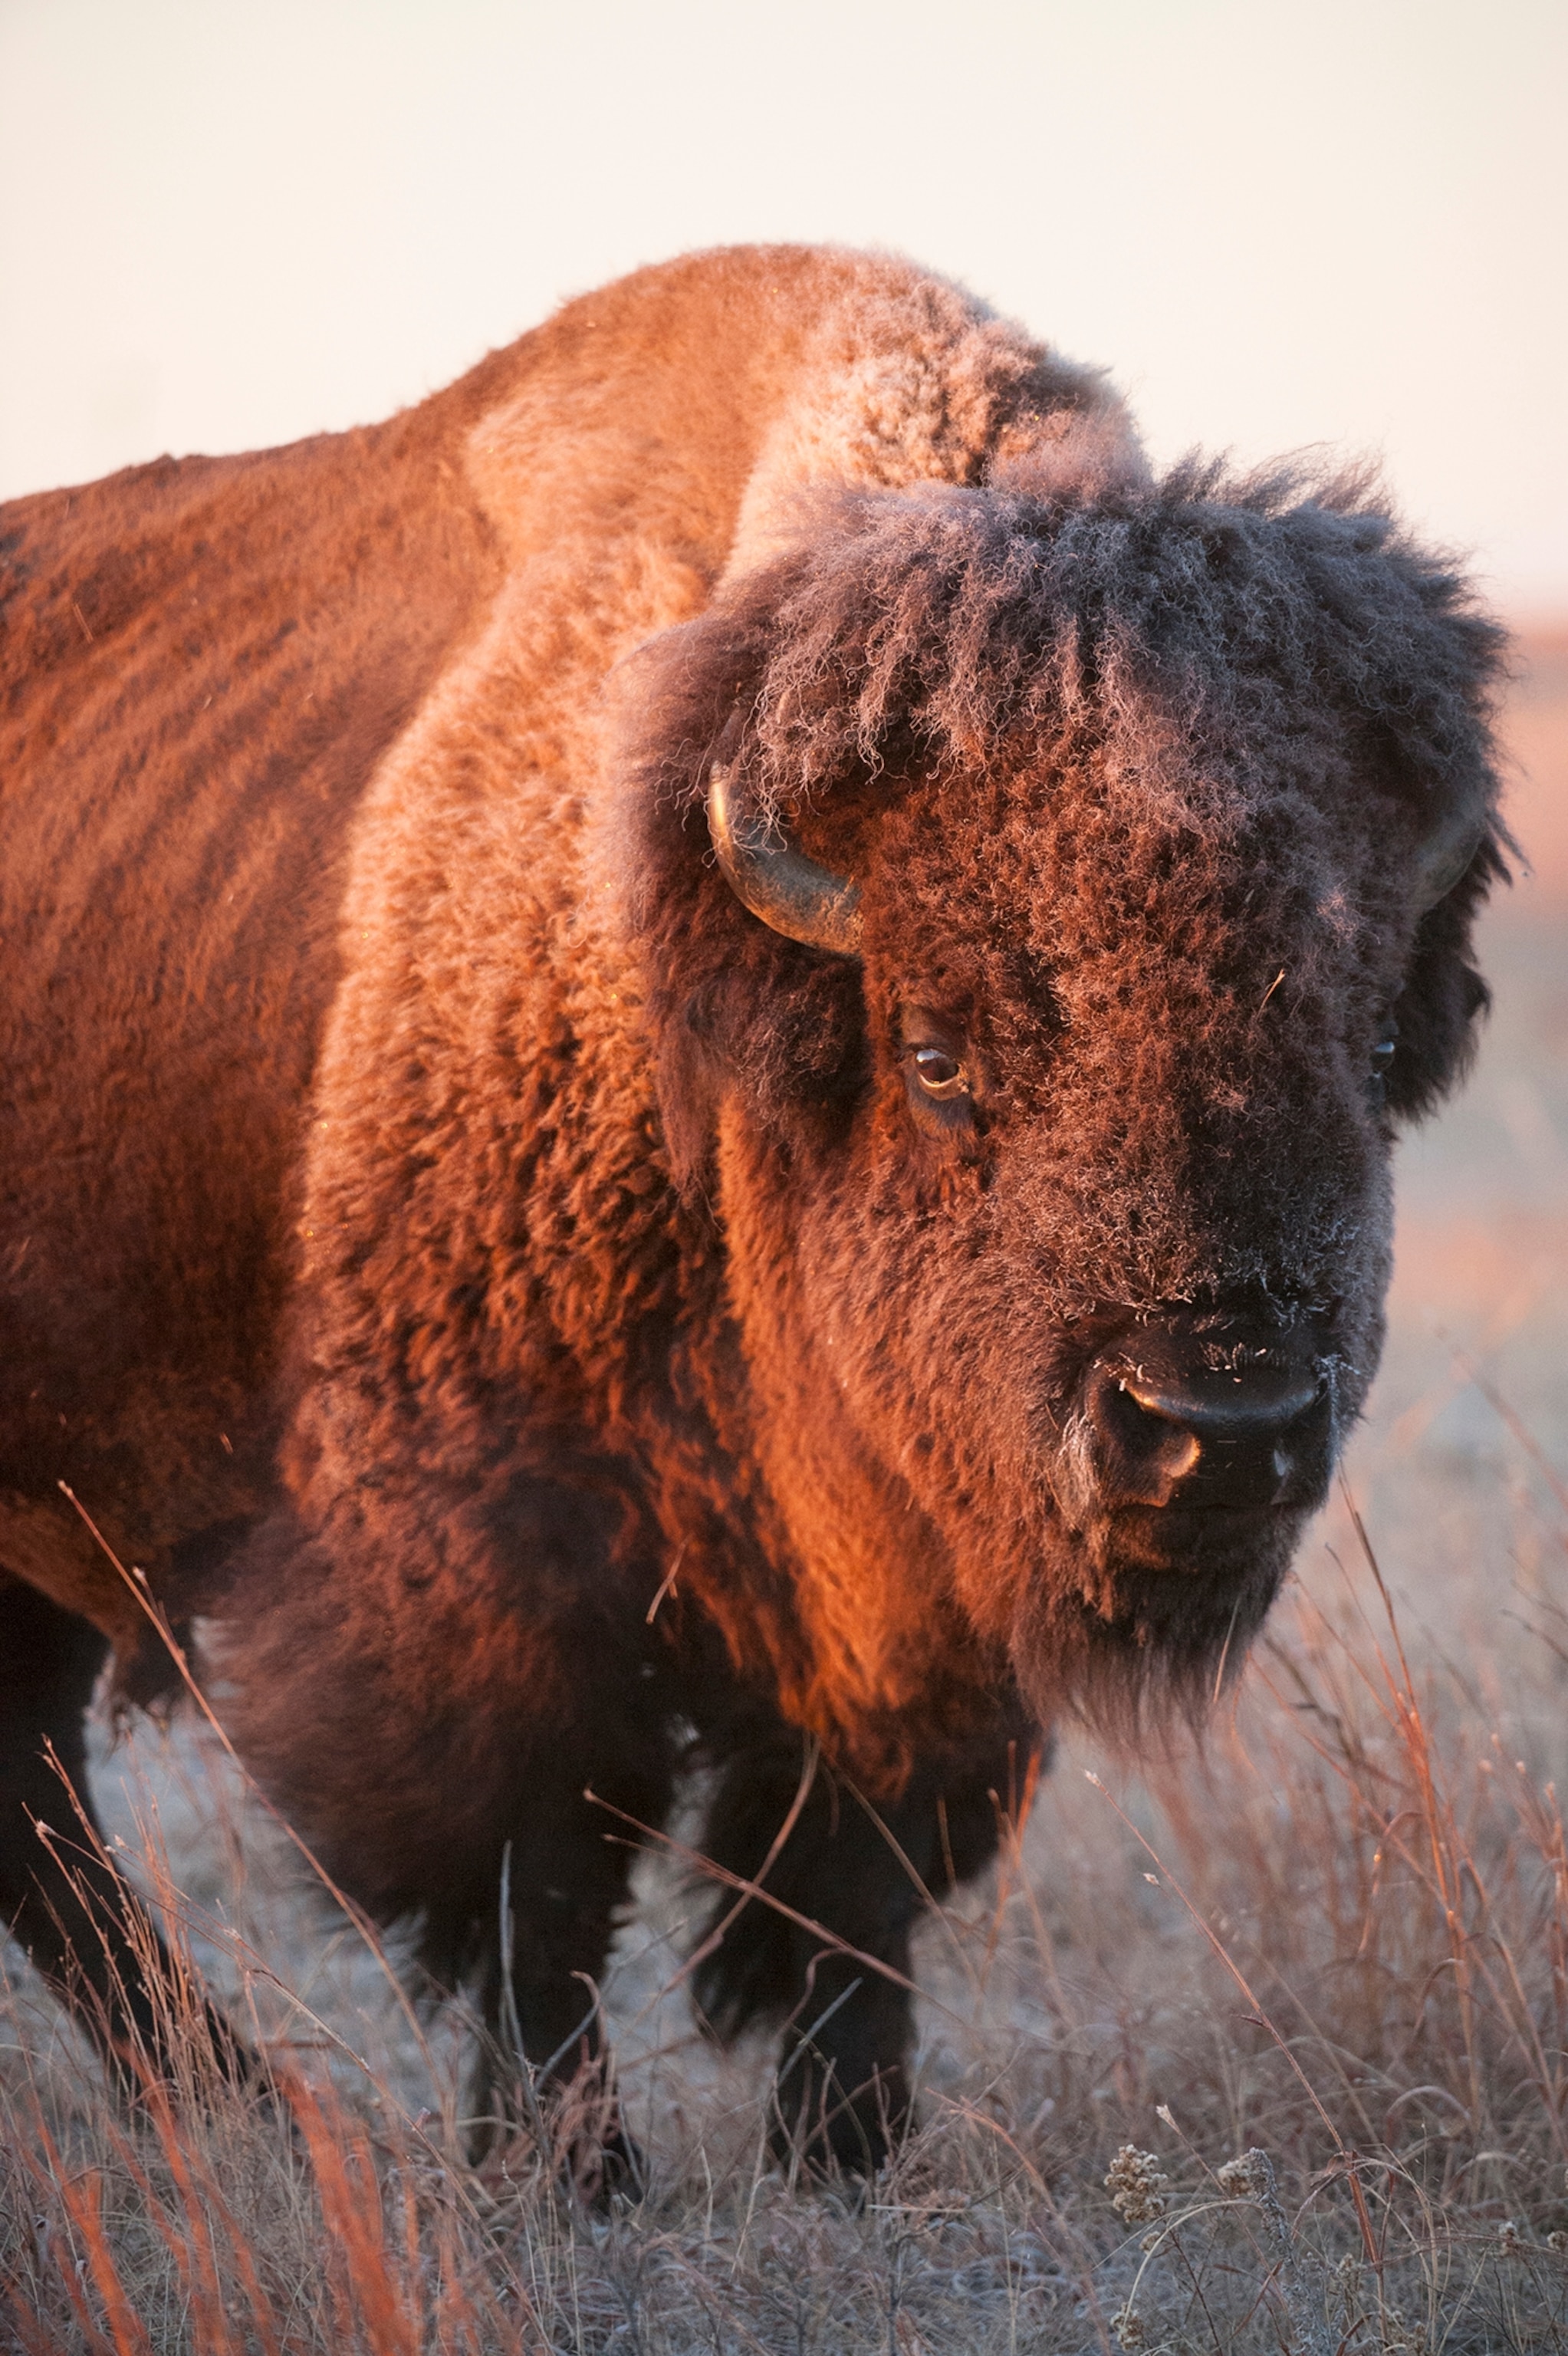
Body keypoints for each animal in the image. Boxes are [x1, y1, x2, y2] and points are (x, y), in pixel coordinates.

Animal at [0, 244, 1504, 2171]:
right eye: (936, 1054)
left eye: (1373, 1039)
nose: (1214, 1427)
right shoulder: (491, 1572)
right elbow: (542, 1879)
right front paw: (575, 2170)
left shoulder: (919, 1610)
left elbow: (859, 1873)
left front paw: (849, 2143)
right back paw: (258, 2108)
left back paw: (236, 2106)